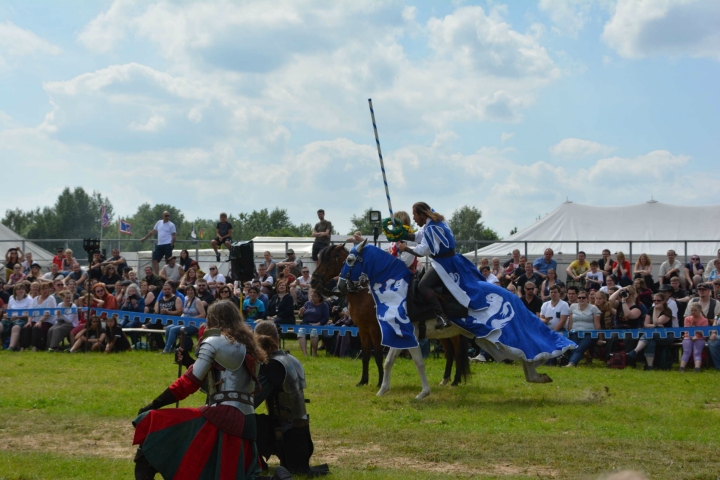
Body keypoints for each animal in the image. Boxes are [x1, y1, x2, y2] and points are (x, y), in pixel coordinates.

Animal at [310, 246, 470, 388]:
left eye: (329, 260)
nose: (313, 282)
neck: (365, 295)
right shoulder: (363, 330)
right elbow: (366, 355)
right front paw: (363, 381)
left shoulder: (376, 330)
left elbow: (378, 355)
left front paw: (380, 382)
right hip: (442, 332)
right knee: (449, 352)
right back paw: (445, 380)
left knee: (458, 352)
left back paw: (455, 380)